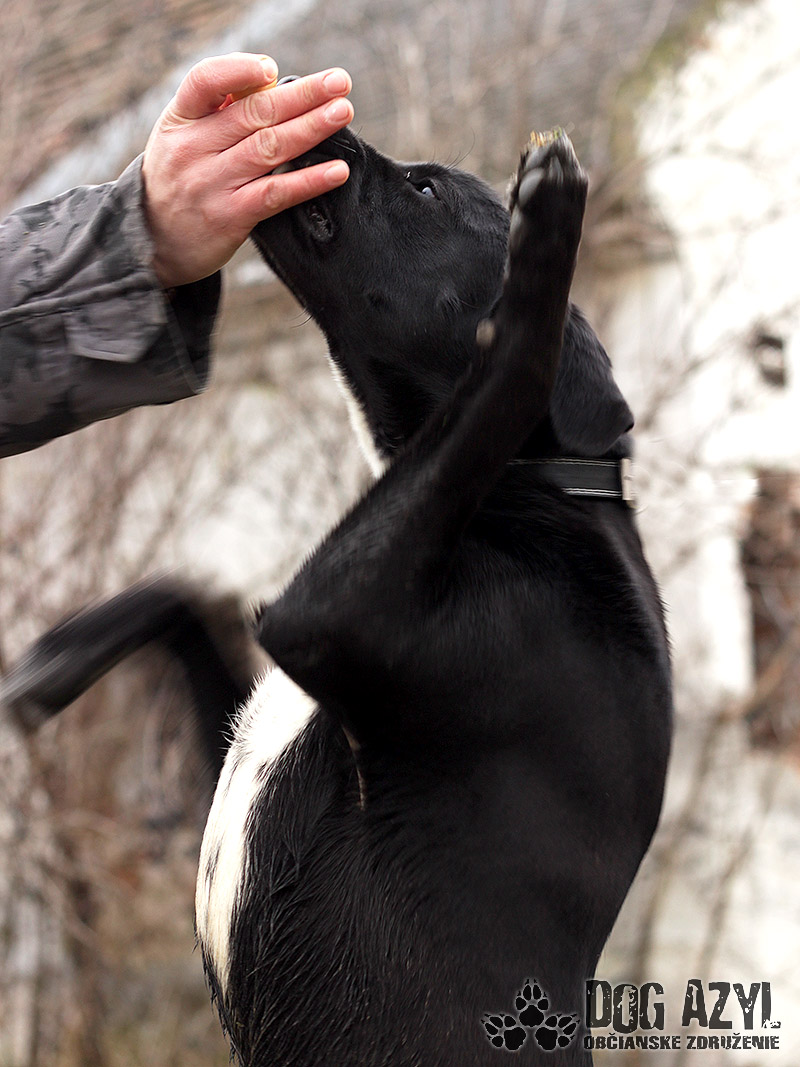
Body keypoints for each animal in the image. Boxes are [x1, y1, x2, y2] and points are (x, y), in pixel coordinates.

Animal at [1, 127, 672, 1065]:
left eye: (426, 190)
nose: (335, 129)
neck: (532, 484)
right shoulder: (255, 729)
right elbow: (179, 595)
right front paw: (59, 657)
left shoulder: (328, 614)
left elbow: (514, 362)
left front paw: (550, 236)